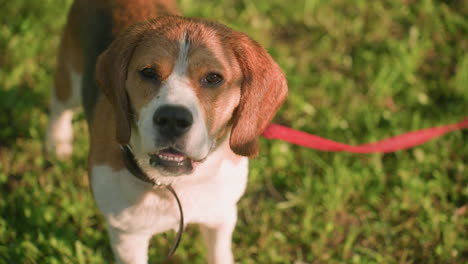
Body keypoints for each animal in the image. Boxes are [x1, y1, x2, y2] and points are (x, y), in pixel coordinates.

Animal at [45, 1, 288, 262]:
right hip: (69, 80)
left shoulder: (221, 217)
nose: (172, 119)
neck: (174, 185)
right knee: (59, 106)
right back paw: (57, 144)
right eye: (148, 72)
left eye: (213, 78)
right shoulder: (128, 237)